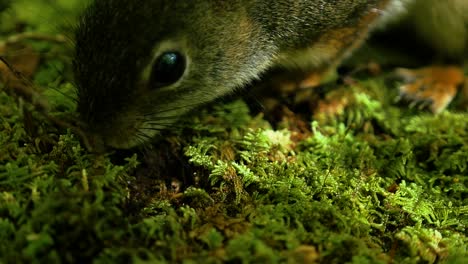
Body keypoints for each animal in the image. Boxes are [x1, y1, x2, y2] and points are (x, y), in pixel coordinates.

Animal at [72, 0, 464, 148]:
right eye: (86, 26)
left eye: (169, 66)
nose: (95, 136)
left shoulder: (351, 12)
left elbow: (336, 52)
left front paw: (296, 78)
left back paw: (435, 82)